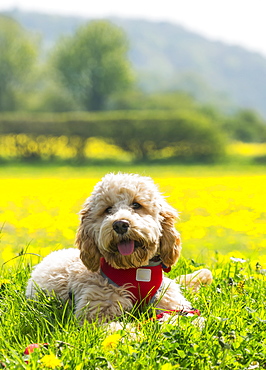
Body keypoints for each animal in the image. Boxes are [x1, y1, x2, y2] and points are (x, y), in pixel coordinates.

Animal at [25, 172, 212, 322]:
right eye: (107, 209)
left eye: (136, 205)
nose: (120, 224)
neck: (135, 270)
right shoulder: (96, 315)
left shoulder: (172, 304)